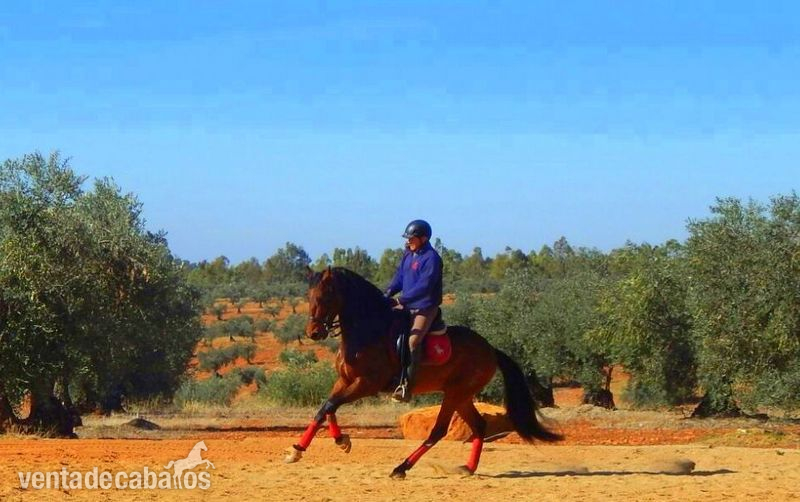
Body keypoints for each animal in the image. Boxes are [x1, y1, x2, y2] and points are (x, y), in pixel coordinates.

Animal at [284, 267, 562, 478]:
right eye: (309, 296)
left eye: (325, 296)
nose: (314, 333)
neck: (366, 331)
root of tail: (491, 349)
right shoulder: (346, 380)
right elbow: (326, 408)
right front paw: (326, 444)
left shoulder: (366, 384)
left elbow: (329, 405)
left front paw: (311, 447)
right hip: (461, 396)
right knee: (479, 425)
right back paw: (467, 468)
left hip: (455, 393)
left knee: (438, 431)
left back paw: (401, 468)